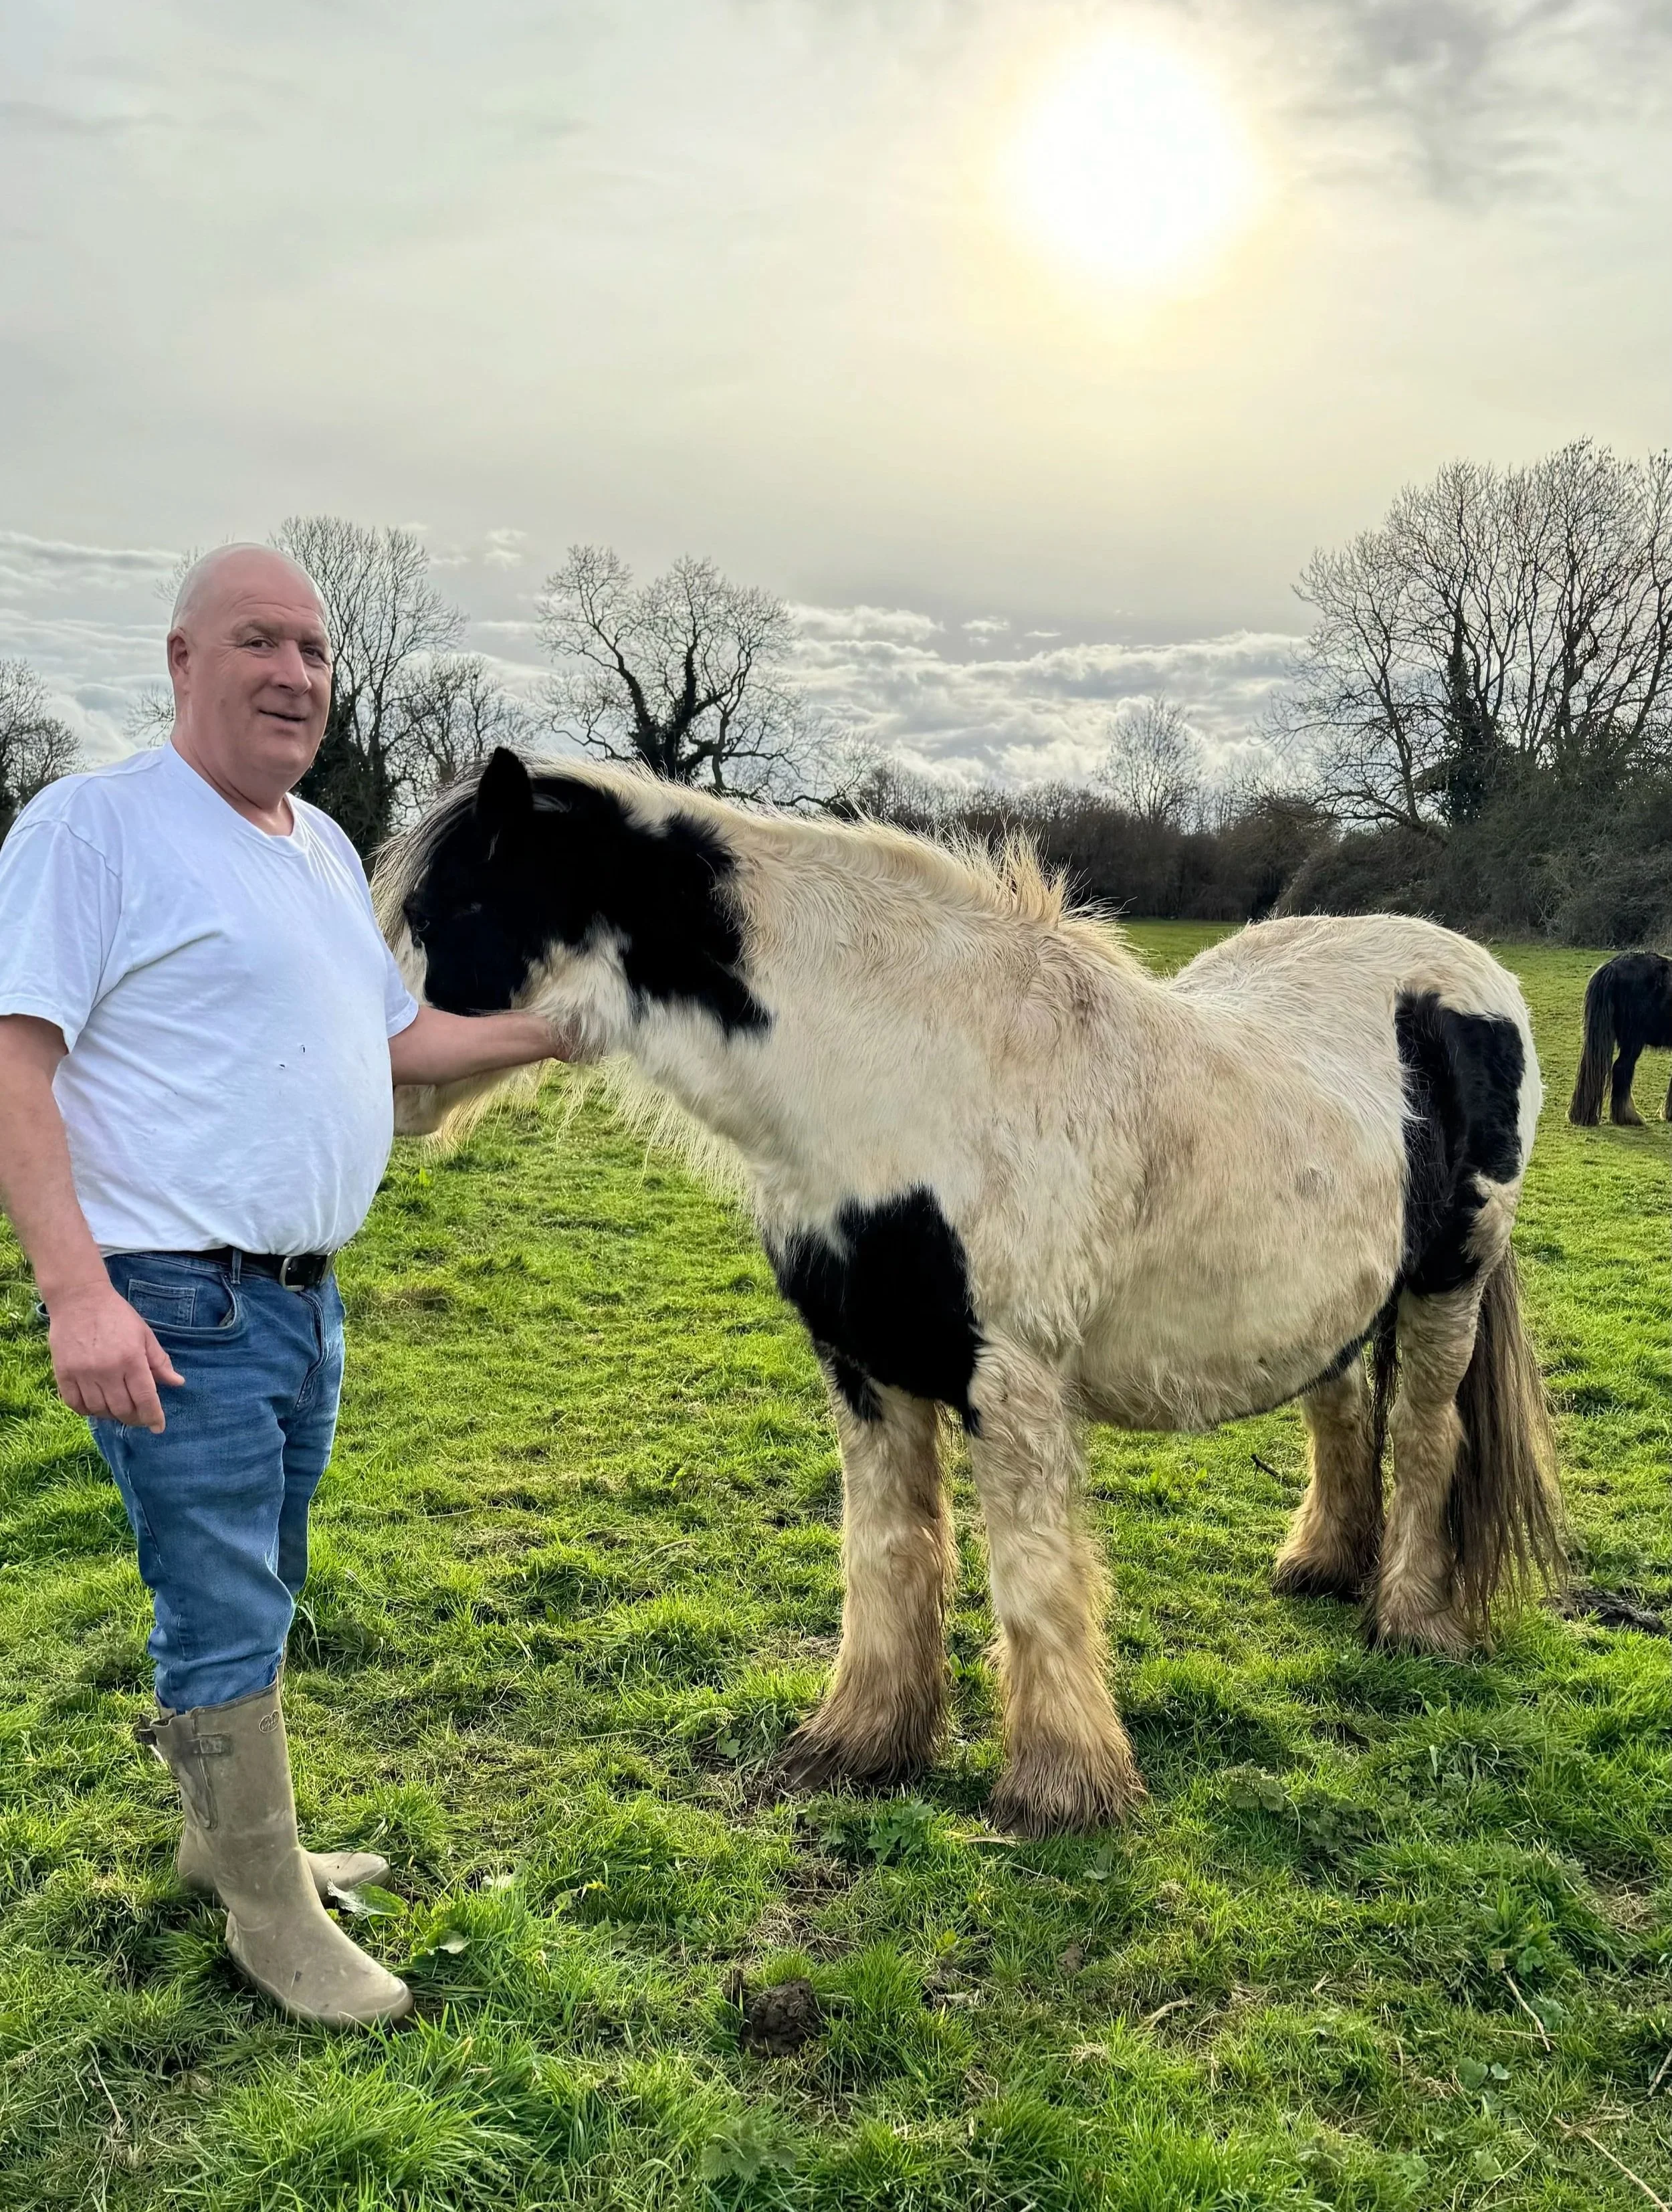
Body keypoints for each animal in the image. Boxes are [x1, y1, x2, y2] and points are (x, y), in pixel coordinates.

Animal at [376, 749, 1563, 1836]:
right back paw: (1323, 1564)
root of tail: (1462, 968)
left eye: (451, 907)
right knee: (1342, 1407)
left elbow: (1032, 1575)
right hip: (1338, 1300)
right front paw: (861, 1743)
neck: (908, 1073)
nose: (397, 1087)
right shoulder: (863, 1365)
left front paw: (1060, 1788)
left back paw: (1408, 1618)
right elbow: (888, 1552)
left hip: (1449, 1282)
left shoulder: (1014, 1382)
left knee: (1427, 1437)